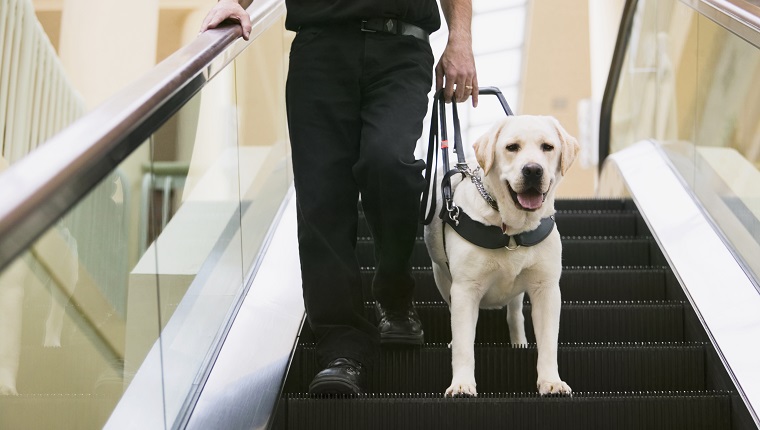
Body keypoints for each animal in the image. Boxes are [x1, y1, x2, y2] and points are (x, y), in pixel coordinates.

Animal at [424, 113, 580, 396]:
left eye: (548, 147)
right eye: (512, 147)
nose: (533, 170)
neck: (512, 230)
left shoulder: (547, 288)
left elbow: (549, 341)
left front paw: (551, 381)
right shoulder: (465, 288)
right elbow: (464, 343)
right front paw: (462, 384)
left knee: (514, 312)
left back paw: (519, 341)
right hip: (441, 276)